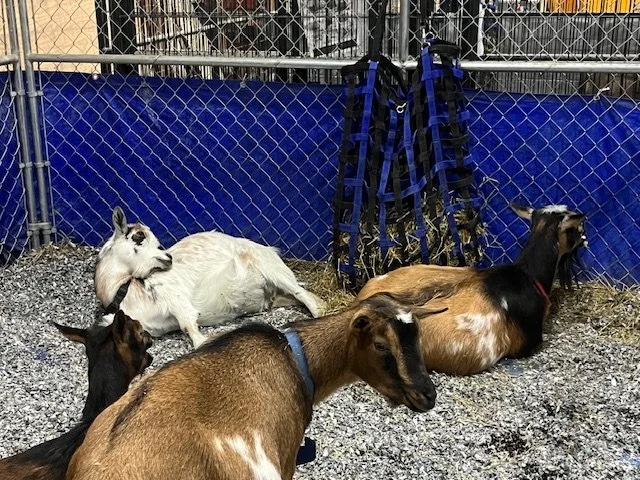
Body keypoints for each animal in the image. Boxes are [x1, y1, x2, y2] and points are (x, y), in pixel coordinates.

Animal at [95, 207, 326, 348]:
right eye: (138, 238)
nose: (169, 258)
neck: (128, 292)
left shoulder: (178, 302)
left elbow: (196, 337)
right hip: (276, 296)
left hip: (272, 268)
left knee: (304, 295)